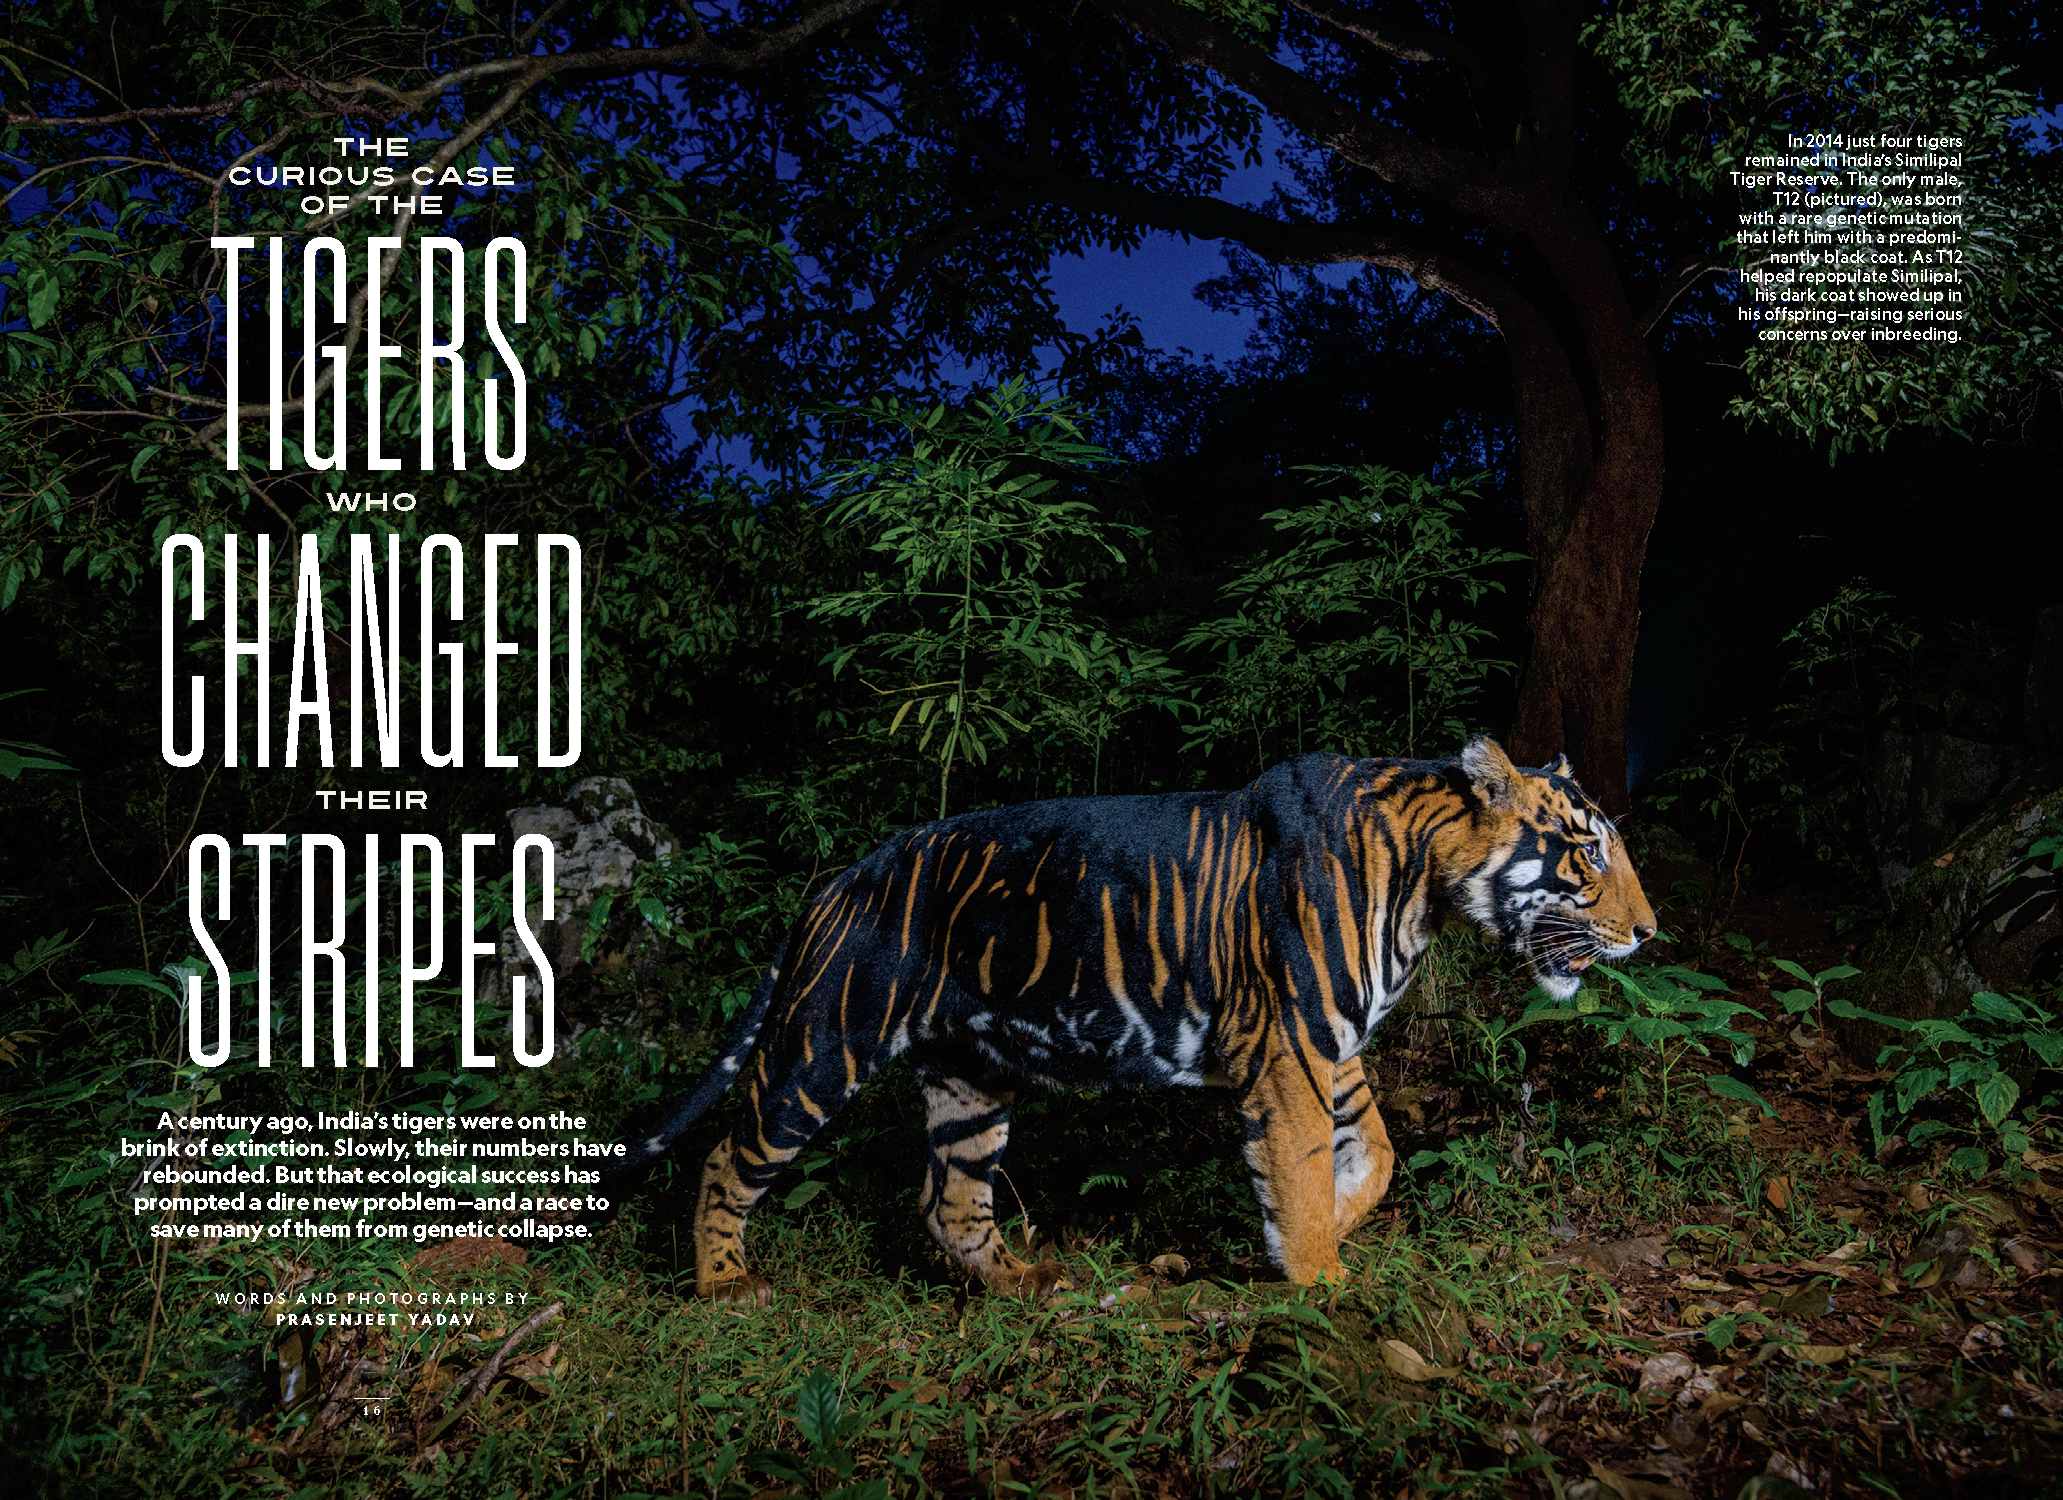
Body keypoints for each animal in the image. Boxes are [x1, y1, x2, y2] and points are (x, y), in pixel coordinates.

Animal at [612, 736, 1657, 1304]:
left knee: (949, 1200)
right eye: (1586, 853)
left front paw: (1321, 1229)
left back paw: (1024, 1283)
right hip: (824, 1046)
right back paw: (722, 1286)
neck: (1425, 889)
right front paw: (1317, 1277)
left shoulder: (1325, 1040)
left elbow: (1377, 1151)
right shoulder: (1292, 1045)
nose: (1649, 932)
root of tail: (840, 877)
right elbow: (1302, 1165)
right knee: (728, 1155)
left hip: (970, 1079)